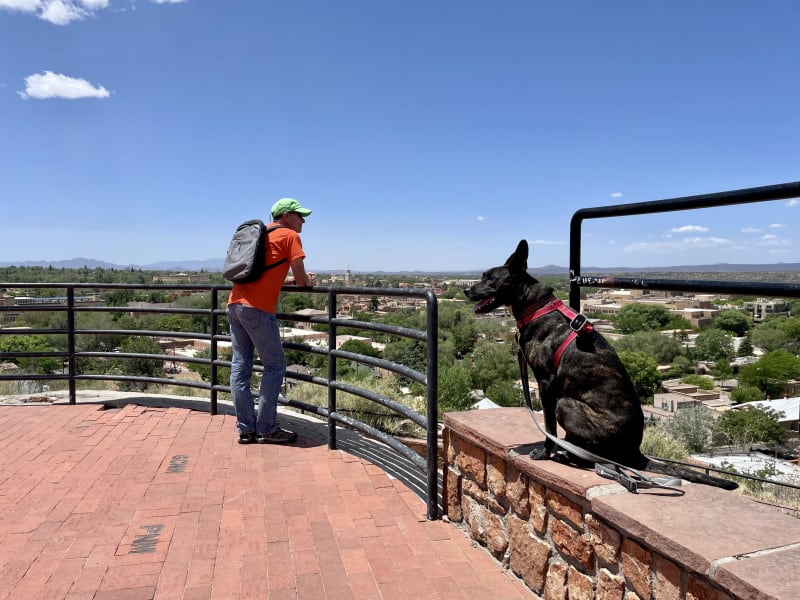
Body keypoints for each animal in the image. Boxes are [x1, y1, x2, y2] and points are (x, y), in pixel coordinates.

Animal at [468, 239, 736, 492]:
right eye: (481, 276)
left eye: (490, 278)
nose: (467, 290)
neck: (535, 306)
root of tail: (634, 452)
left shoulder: (545, 382)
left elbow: (549, 426)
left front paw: (544, 453)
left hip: (567, 405)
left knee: (594, 455)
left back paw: (569, 456)